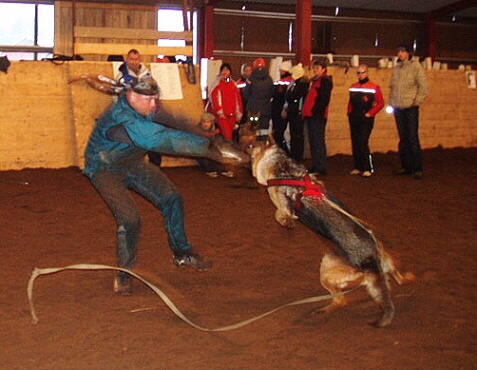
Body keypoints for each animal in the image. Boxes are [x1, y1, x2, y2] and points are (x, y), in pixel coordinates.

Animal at [249, 141, 412, 326]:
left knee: (342, 299)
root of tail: (373, 259)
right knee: (397, 278)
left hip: (326, 272)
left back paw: (322, 310)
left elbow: (280, 215)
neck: (282, 165)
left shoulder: (283, 208)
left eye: (254, 146)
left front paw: (287, 225)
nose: (248, 146)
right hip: (385, 261)